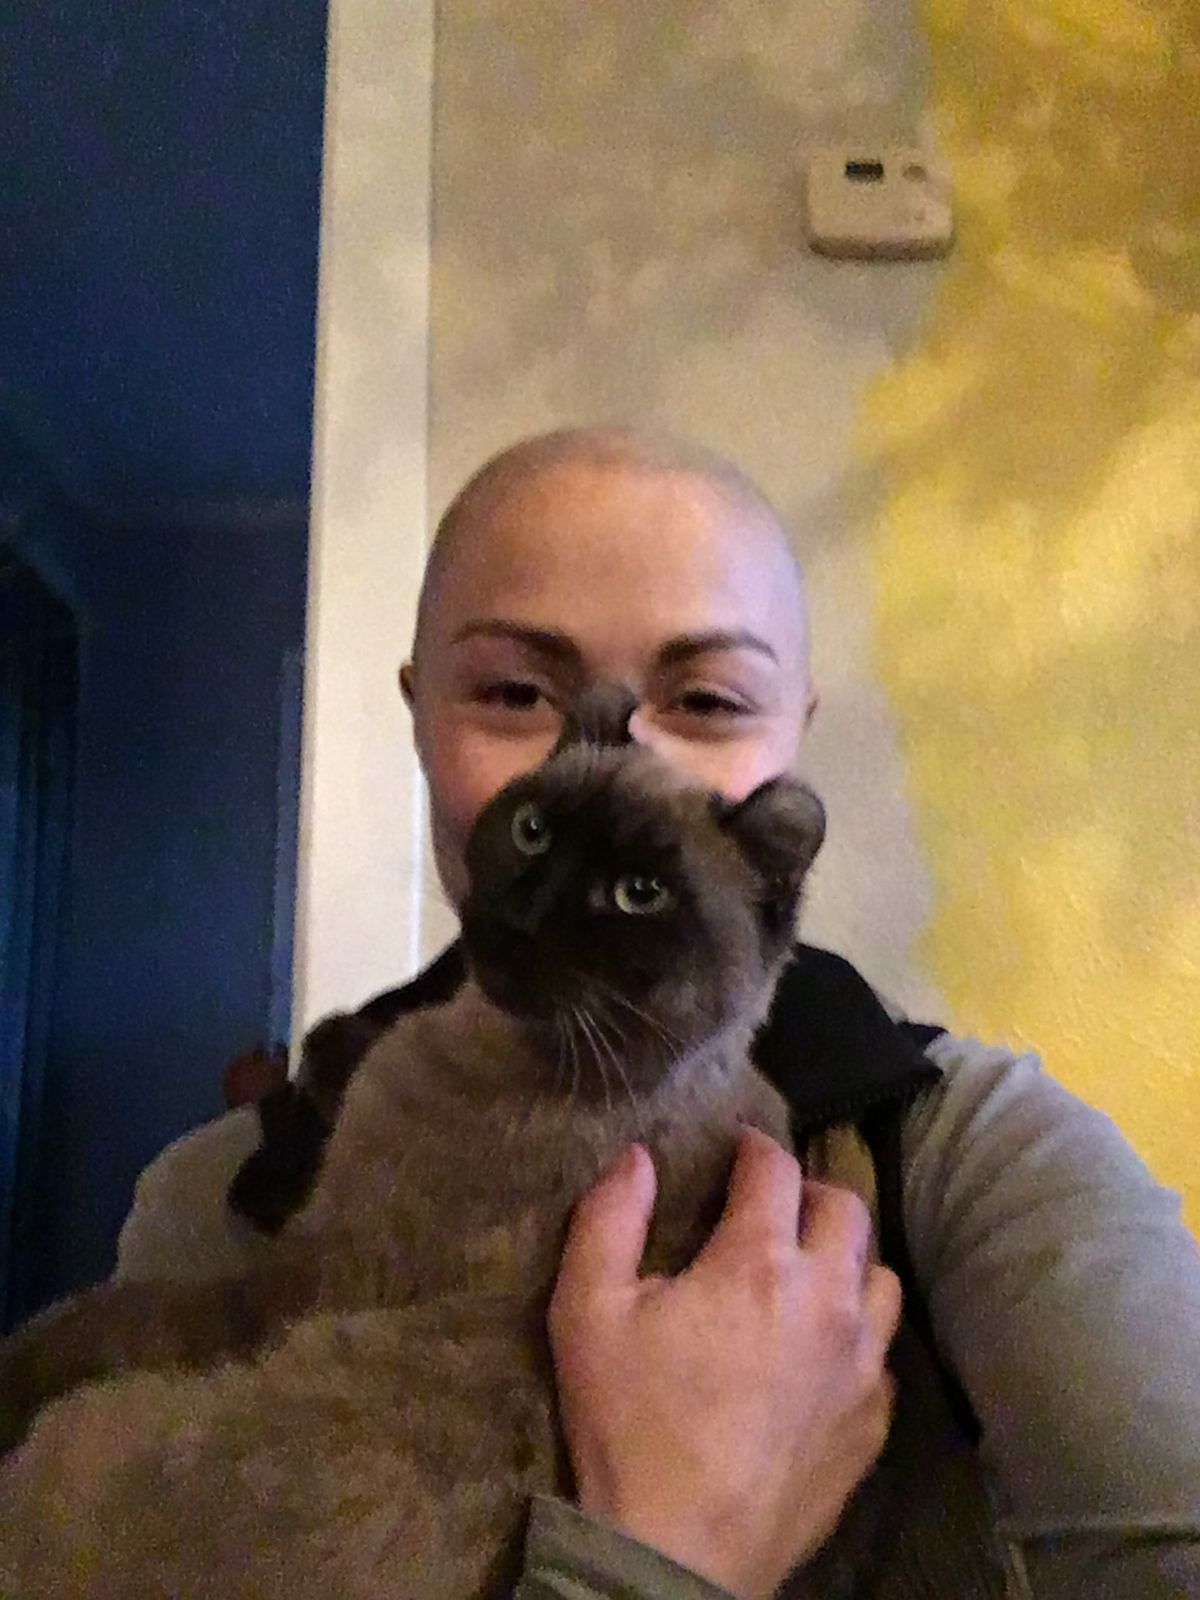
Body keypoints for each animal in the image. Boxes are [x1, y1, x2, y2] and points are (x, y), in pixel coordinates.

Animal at [0, 684, 827, 1599]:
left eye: (638, 894)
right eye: (533, 829)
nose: (523, 916)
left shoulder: (298, 1278)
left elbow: (100, 1321)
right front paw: (324, 1050)